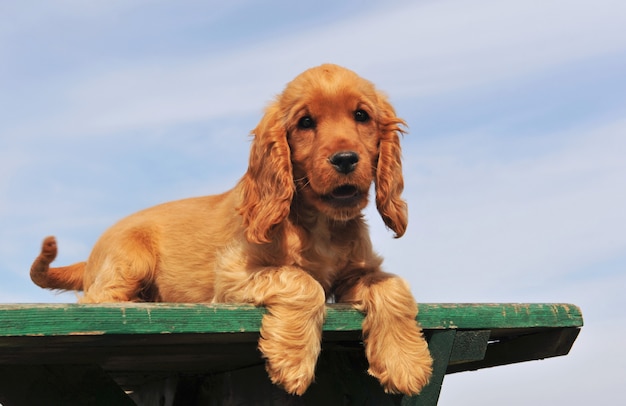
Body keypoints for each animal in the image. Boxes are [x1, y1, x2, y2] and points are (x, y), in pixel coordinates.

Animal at [31, 64, 432, 396]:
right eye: (305, 123)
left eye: (361, 116)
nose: (346, 159)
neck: (321, 223)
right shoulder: (232, 276)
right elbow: (302, 281)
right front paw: (293, 361)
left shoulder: (359, 271)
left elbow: (393, 287)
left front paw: (405, 363)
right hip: (129, 259)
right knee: (97, 299)